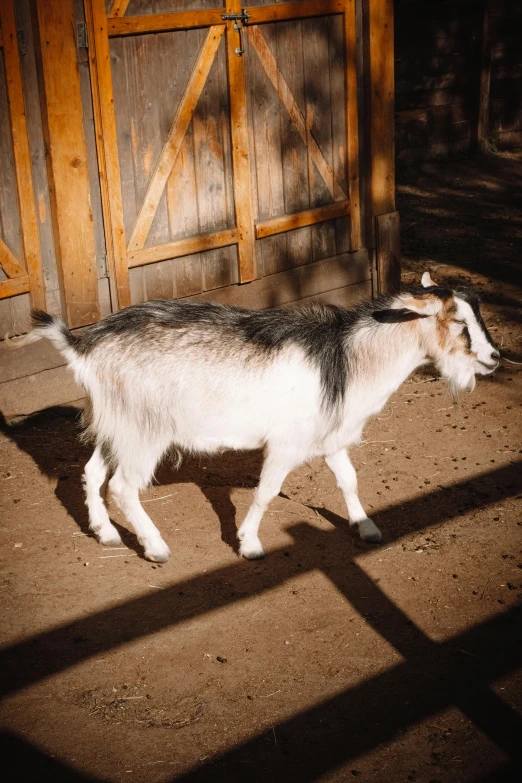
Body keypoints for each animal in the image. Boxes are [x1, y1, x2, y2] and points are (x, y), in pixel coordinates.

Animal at [13, 272, 496, 560]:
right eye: (458, 323)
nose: (494, 358)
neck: (344, 358)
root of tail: (84, 346)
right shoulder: (285, 444)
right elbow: (266, 492)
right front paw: (249, 544)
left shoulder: (329, 438)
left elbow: (349, 480)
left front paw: (367, 527)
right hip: (145, 431)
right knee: (123, 486)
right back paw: (155, 547)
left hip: (118, 425)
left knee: (92, 472)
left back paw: (106, 534)